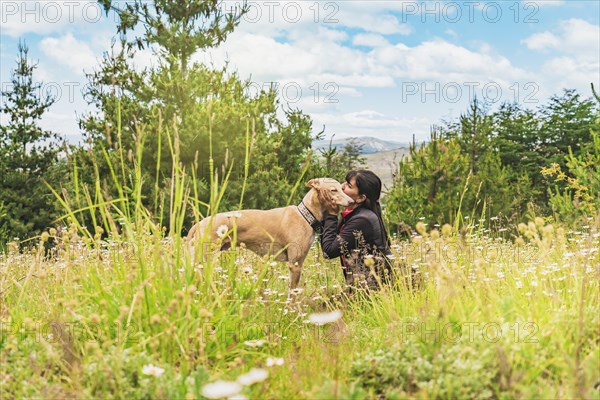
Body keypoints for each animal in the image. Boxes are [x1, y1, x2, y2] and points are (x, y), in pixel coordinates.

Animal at [188, 178, 354, 290]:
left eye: (342, 188)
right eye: (334, 190)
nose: (352, 201)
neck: (305, 215)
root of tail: (199, 224)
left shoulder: (299, 262)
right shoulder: (294, 264)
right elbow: (292, 295)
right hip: (205, 259)